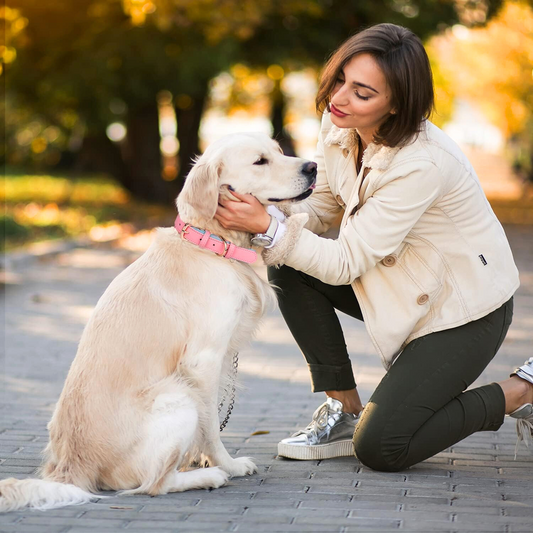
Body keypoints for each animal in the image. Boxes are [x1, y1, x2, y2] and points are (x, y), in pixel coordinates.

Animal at [0, 133, 316, 512]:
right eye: (260, 161)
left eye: (279, 151)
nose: (313, 167)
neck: (209, 243)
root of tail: (70, 468)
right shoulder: (203, 361)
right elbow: (211, 426)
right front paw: (226, 464)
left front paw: (199, 458)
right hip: (177, 396)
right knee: (154, 485)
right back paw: (208, 477)